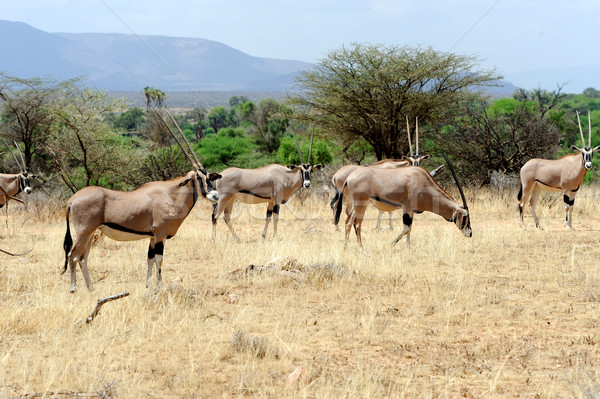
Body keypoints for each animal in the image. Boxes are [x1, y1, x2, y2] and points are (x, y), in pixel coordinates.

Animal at [63, 109, 223, 294]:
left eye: (208, 176)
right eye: (197, 177)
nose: (215, 195)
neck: (171, 195)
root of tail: (72, 200)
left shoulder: (152, 237)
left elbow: (150, 259)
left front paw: (147, 285)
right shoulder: (160, 235)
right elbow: (159, 259)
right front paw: (159, 286)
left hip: (90, 233)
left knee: (83, 258)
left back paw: (91, 288)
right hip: (84, 232)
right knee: (73, 255)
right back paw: (73, 288)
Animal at [336, 155, 472, 247]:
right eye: (465, 217)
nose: (469, 233)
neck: (423, 182)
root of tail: (349, 178)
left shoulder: (411, 210)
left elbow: (410, 228)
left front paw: (408, 247)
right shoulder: (407, 207)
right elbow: (406, 228)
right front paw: (392, 244)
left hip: (355, 204)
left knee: (348, 222)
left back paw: (346, 247)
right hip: (361, 203)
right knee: (357, 223)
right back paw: (361, 248)